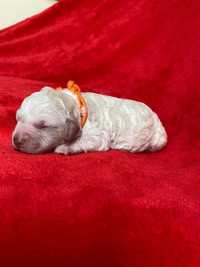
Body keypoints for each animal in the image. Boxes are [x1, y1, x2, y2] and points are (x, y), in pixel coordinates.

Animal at [12, 86, 167, 155]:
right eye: (18, 118)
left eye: (42, 126)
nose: (16, 140)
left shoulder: (97, 135)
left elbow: (84, 141)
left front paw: (64, 148)